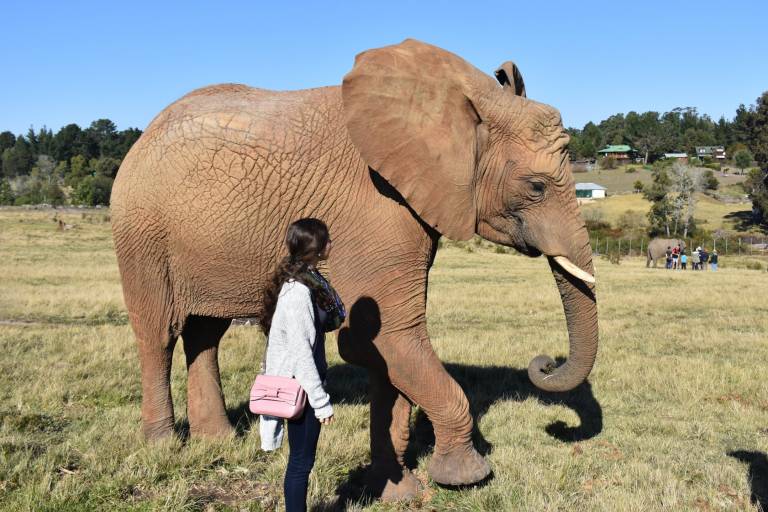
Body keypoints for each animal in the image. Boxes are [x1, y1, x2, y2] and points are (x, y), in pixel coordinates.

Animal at [110, 39, 598, 500]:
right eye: (536, 187)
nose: (544, 363)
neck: (463, 101)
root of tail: (144, 133)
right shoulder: (379, 206)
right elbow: (384, 338)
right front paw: (464, 477)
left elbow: (386, 346)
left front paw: (395, 491)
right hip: (142, 232)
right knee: (159, 333)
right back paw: (164, 446)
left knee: (205, 333)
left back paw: (219, 441)